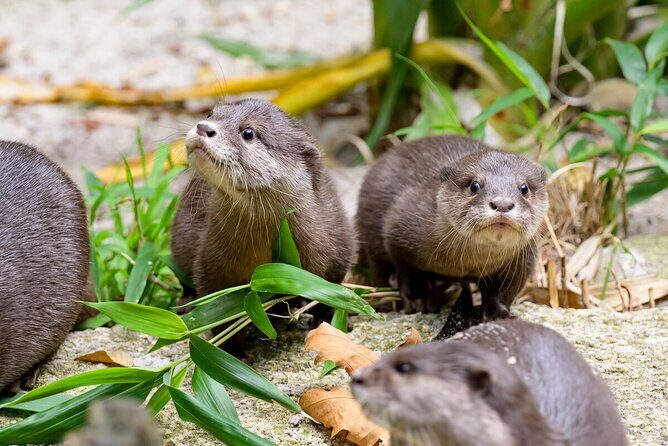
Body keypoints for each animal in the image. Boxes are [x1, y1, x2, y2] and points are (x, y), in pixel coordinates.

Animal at [356, 135, 548, 336]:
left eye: (524, 188)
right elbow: (409, 272)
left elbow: (503, 292)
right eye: (474, 185)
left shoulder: (521, 263)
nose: (502, 203)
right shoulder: (398, 231)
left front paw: (498, 315)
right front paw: (418, 298)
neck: (466, 265)